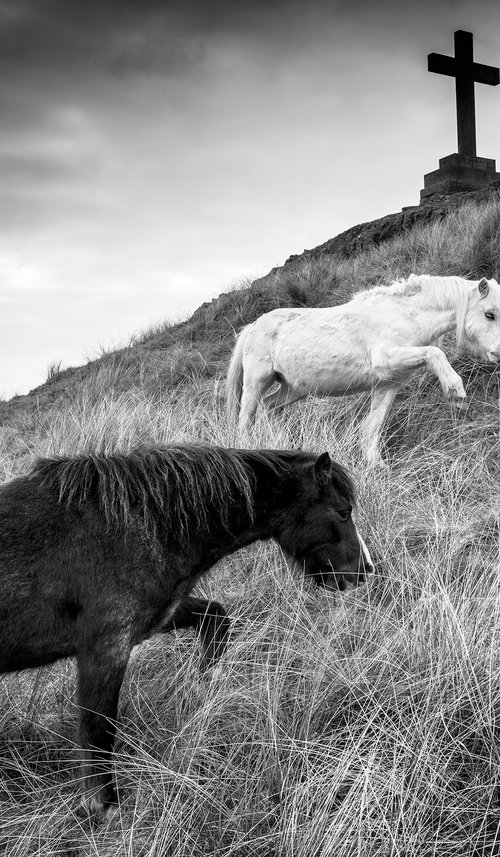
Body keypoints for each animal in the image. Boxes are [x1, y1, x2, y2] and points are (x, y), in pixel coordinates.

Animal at [0, 444, 372, 812]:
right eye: (344, 512)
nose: (365, 570)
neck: (135, 525)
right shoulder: (105, 647)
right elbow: (98, 729)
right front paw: (103, 806)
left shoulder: (161, 616)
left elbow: (216, 617)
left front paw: (205, 685)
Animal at [226, 274, 500, 464]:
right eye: (489, 314)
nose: (498, 353)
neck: (403, 314)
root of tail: (252, 326)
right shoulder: (387, 358)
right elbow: (435, 353)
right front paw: (455, 391)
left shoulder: (388, 384)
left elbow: (372, 427)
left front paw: (376, 466)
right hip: (255, 383)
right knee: (245, 419)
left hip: (294, 388)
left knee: (271, 407)